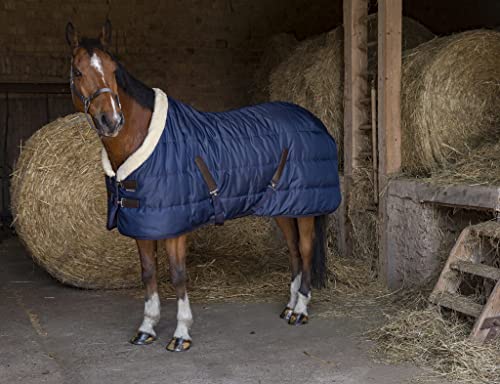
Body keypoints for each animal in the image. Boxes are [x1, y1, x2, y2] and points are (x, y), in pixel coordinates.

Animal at [65, 20, 340, 352]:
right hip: (283, 208)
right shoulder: (144, 223)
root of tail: (314, 120)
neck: (147, 143)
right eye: (78, 71)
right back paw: (289, 307)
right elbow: (148, 273)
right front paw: (147, 328)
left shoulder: (175, 227)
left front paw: (181, 333)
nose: (111, 120)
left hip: (305, 209)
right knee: (294, 252)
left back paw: (300, 310)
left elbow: (178, 275)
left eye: (114, 69)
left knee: (306, 250)